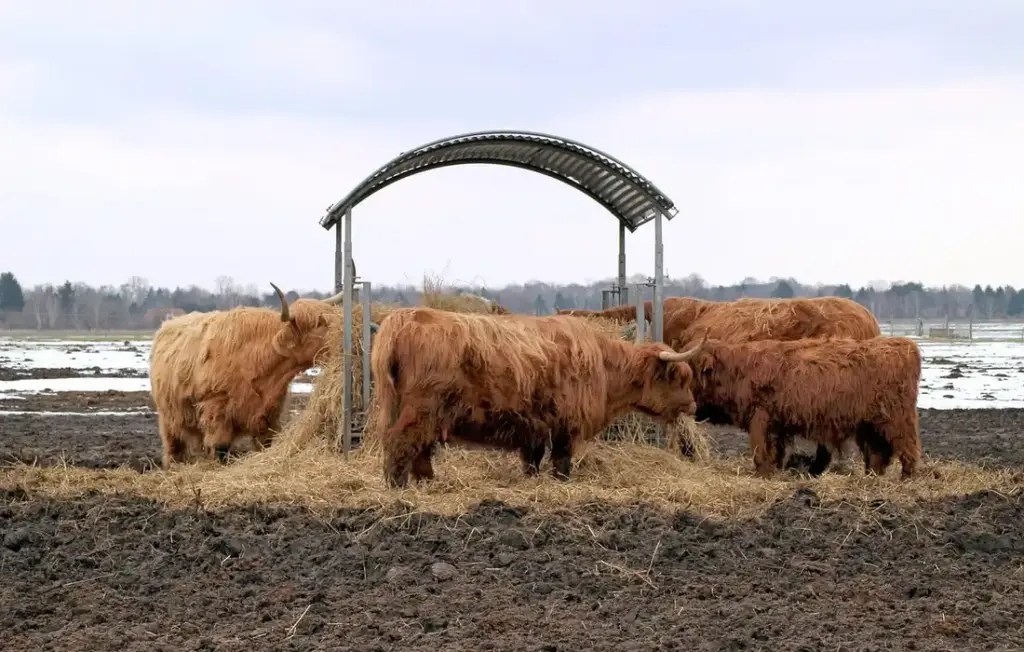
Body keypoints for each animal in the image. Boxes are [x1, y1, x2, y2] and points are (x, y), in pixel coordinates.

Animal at [150, 283, 344, 468]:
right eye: (319, 323)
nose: (343, 330)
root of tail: (167, 324)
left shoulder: (269, 413)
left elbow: (266, 443)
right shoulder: (217, 410)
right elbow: (220, 448)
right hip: (168, 414)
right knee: (173, 444)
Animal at [369, 306, 708, 488]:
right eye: (679, 378)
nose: (693, 406)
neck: (604, 367)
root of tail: (404, 317)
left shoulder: (533, 426)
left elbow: (532, 460)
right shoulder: (566, 424)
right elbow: (561, 461)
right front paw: (561, 483)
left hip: (425, 412)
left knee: (419, 448)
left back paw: (427, 482)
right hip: (422, 408)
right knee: (401, 443)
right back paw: (398, 487)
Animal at [682, 334, 922, 479]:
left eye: (688, 372)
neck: (737, 371)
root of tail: (906, 345)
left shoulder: (760, 416)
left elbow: (759, 452)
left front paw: (762, 476)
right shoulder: (776, 423)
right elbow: (774, 452)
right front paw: (773, 473)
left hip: (898, 418)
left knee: (909, 449)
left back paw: (906, 480)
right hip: (870, 424)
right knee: (877, 454)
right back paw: (872, 478)